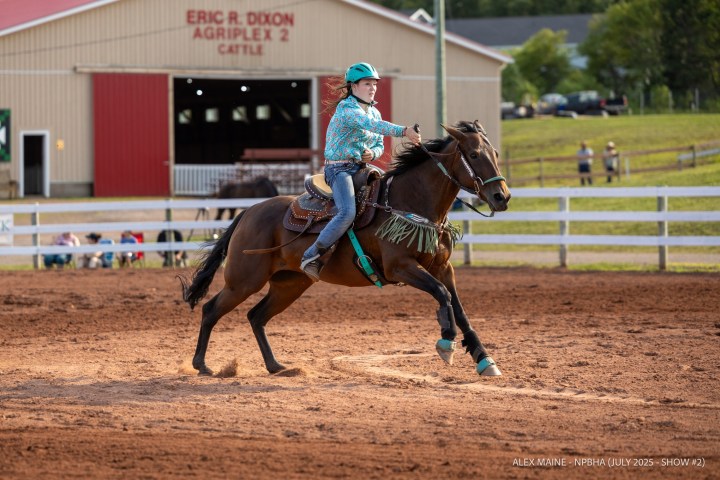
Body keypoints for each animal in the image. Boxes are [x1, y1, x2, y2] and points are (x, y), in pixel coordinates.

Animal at [179, 121, 511, 377]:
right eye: (474, 154)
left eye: (495, 153)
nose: (502, 197)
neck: (409, 202)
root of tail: (248, 212)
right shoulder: (401, 267)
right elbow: (442, 296)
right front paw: (446, 341)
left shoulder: (442, 268)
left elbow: (459, 307)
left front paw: (484, 360)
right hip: (244, 281)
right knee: (211, 309)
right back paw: (201, 365)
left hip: (289, 284)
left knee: (256, 317)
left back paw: (276, 366)